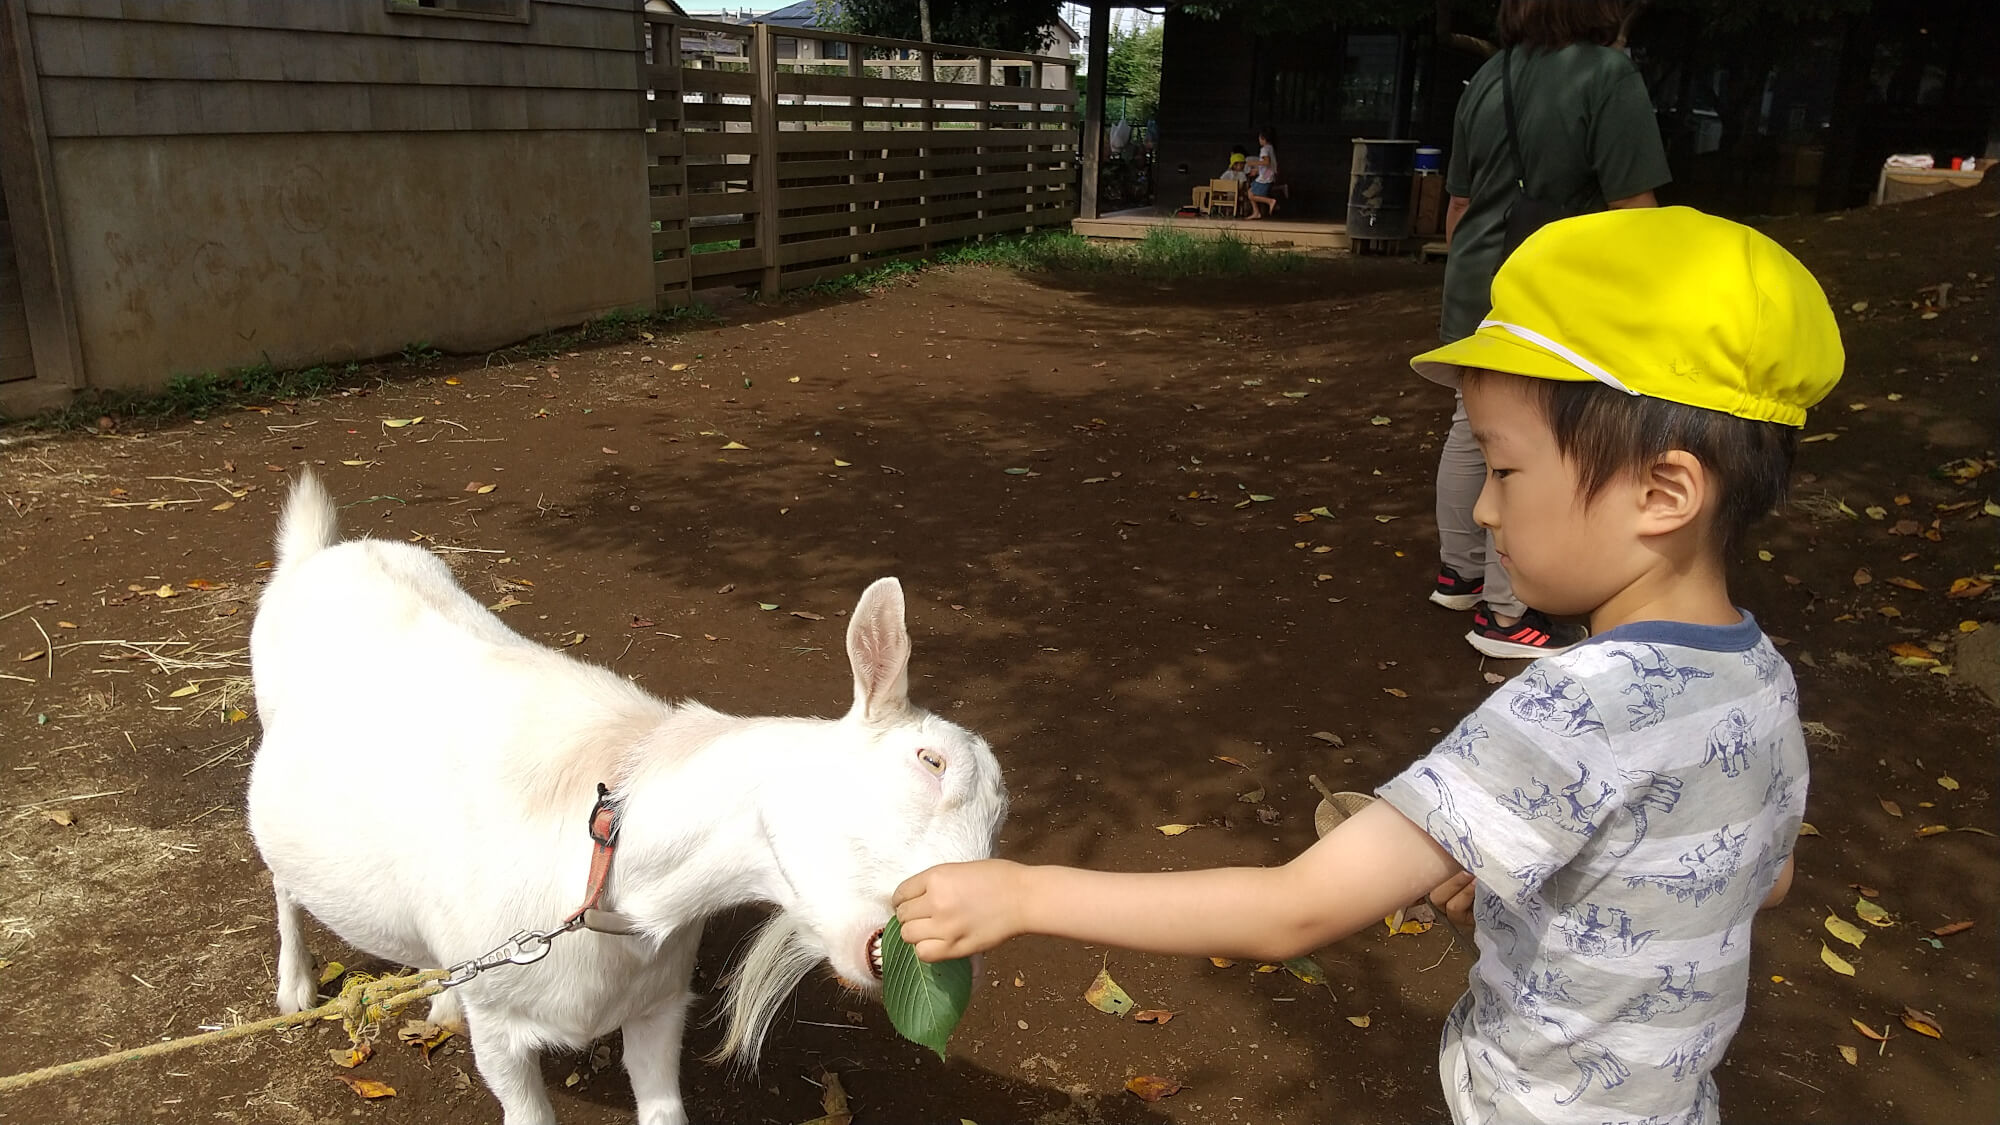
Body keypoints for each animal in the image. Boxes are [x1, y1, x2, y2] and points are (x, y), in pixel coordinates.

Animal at [242, 470, 1008, 1120]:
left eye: (1000, 816)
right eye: (930, 761)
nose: (958, 940)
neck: (607, 877)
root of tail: (321, 551)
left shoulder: (659, 1005)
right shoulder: (502, 1031)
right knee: (280, 880)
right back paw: (294, 985)